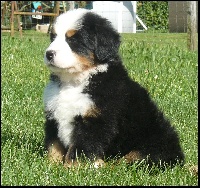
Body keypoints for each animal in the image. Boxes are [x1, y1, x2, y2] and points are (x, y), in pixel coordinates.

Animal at [43, 8, 184, 168]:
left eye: (73, 40)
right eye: (53, 37)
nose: (49, 54)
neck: (74, 82)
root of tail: (180, 156)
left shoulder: (96, 120)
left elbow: (81, 147)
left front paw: (71, 168)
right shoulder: (53, 115)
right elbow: (54, 145)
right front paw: (51, 164)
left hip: (151, 146)